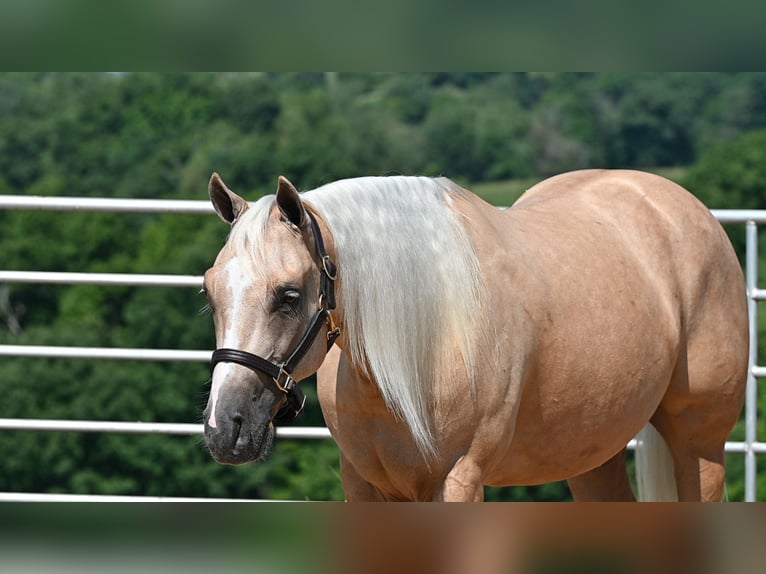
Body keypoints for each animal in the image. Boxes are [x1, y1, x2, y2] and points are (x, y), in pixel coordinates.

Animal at [201, 169, 748, 501]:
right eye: (209, 290)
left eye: (290, 295)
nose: (225, 428)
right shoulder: (364, 484)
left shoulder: (460, 480)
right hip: (592, 453)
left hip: (699, 444)